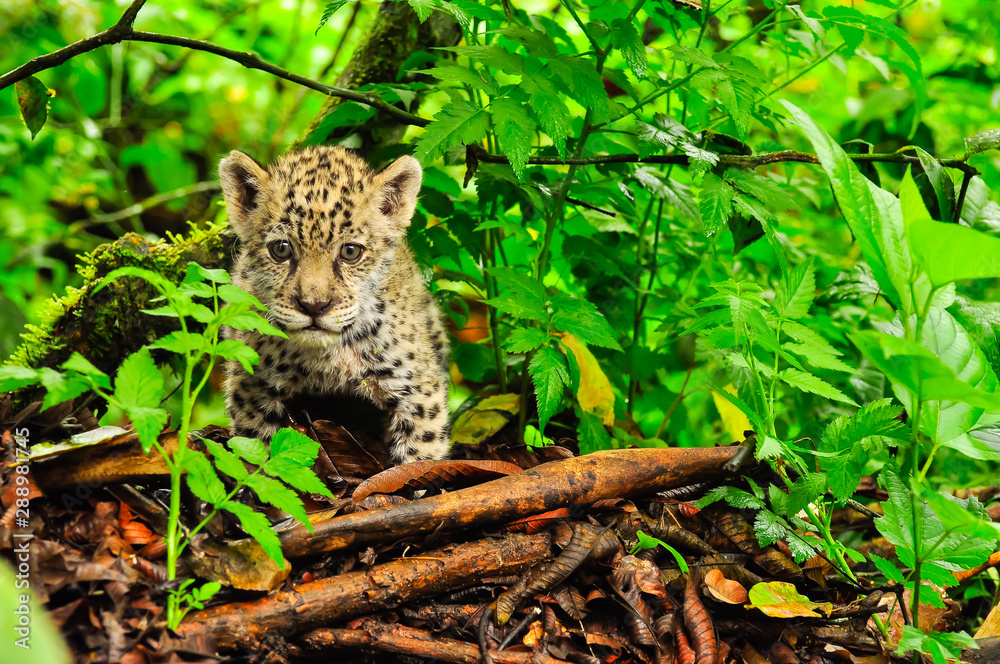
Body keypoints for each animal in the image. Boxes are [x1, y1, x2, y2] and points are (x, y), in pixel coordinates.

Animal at [218, 145, 451, 465]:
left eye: (350, 252)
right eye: (281, 249)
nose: (314, 306)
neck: (327, 360)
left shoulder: (417, 390)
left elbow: (420, 456)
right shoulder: (252, 387)